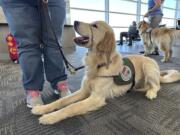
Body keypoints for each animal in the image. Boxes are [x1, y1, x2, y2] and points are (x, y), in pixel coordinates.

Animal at [31, 20, 180, 125]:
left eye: (94, 26)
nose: (75, 22)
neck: (97, 64)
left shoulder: (96, 98)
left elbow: (71, 107)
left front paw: (49, 117)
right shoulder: (84, 91)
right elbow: (62, 101)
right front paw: (42, 109)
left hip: (148, 67)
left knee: (157, 86)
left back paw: (151, 92)